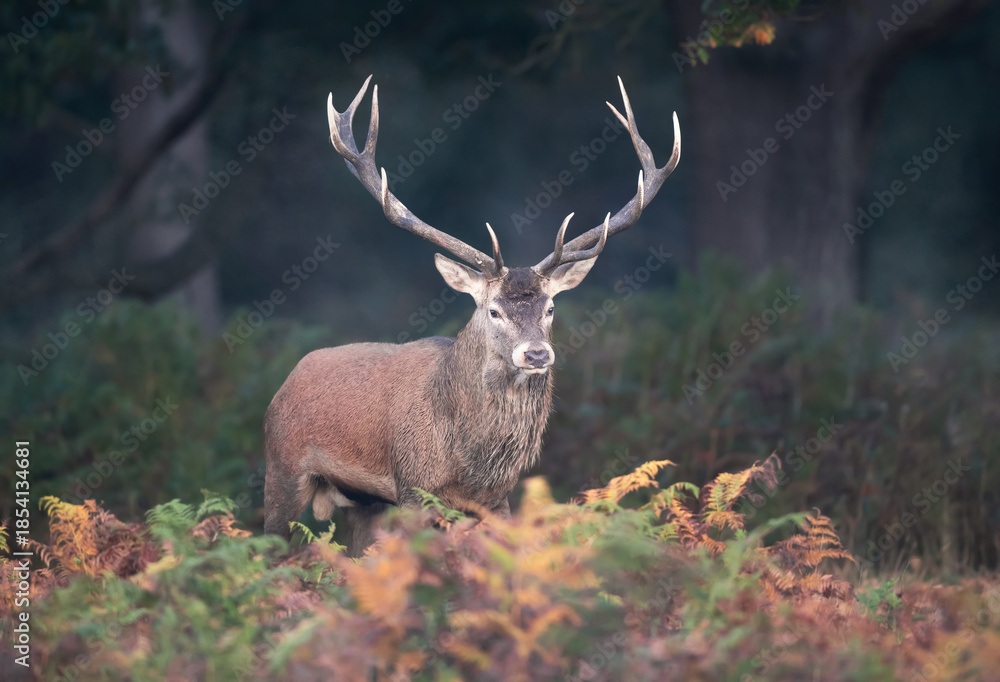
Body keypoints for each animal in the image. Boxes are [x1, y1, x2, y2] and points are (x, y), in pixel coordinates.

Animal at [263, 75, 679, 555]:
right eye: (493, 310)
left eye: (551, 307)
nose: (536, 355)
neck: (468, 460)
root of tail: (283, 386)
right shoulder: (413, 488)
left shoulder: (497, 500)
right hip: (282, 470)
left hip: (366, 503)